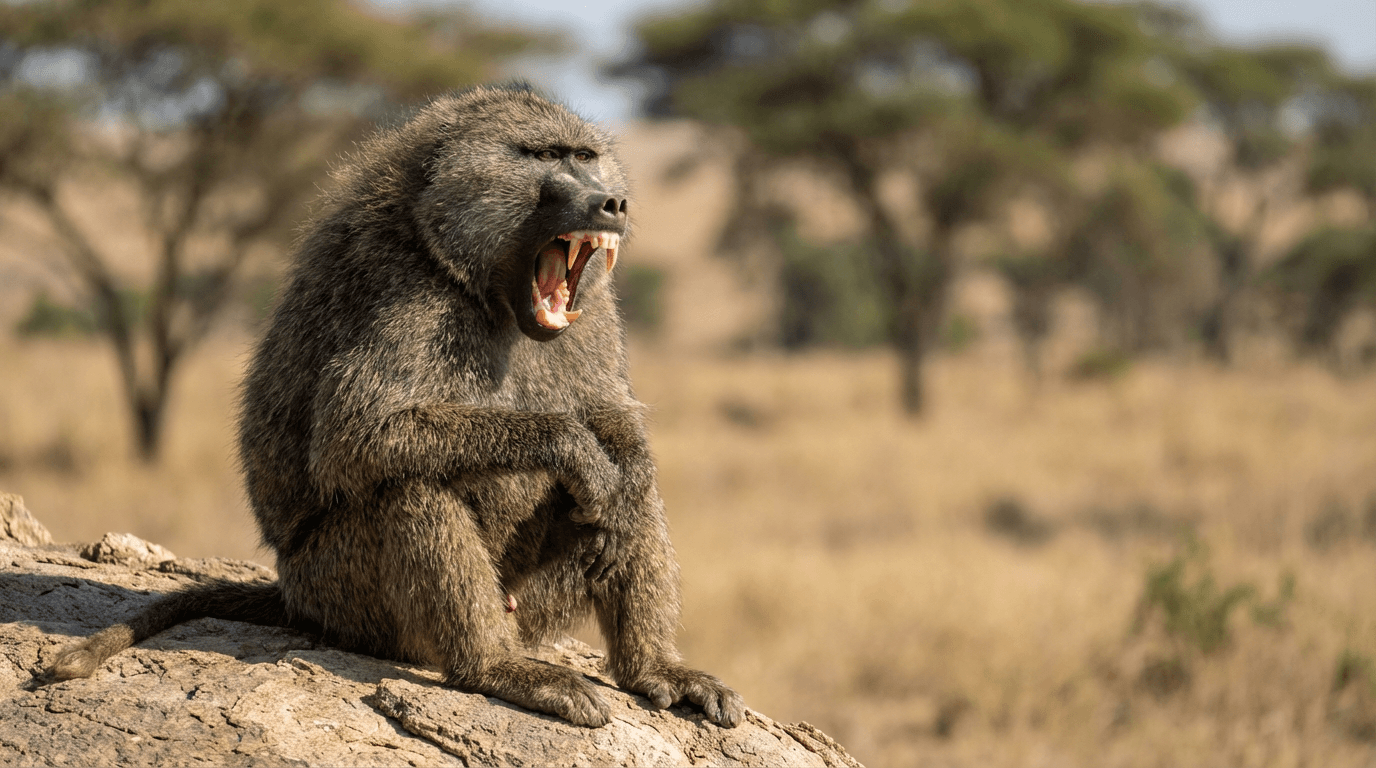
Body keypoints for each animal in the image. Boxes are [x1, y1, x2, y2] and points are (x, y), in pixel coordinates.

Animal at [46, 84, 745, 730]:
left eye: (587, 156)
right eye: (545, 156)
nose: (612, 202)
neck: (478, 281)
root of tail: (294, 595)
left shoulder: (593, 313)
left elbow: (612, 417)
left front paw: (623, 466)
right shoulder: (406, 294)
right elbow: (360, 434)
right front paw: (577, 452)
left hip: (530, 601)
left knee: (631, 498)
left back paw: (653, 668)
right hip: (343, 592)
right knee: (410, 483)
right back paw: (495, 667)